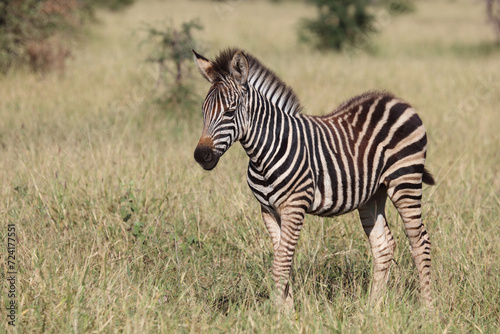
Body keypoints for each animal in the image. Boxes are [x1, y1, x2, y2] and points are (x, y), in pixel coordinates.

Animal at [191, 48, 434, 310]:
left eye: (230, 111)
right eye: (203, 111)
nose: (201, 155)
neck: (264, 151)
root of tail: (397, 101)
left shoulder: (294, 207)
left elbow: (280, 265)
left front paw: (278, 314)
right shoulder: (268, 210)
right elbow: (283, 261)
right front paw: (288, 311)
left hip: (406, 181)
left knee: (420, 242)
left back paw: (427, 308)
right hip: (372, 193)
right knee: (383, 246)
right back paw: (372, 309)